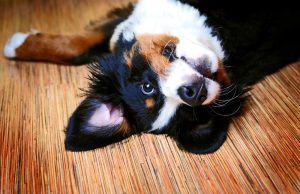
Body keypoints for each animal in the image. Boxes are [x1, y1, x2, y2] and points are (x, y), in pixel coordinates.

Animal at [2, 0, 300, 154]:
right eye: (149, 89)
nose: (194, 94)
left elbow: (81, 47)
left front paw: (15, 45)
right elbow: (79, 48)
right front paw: (16, 45)